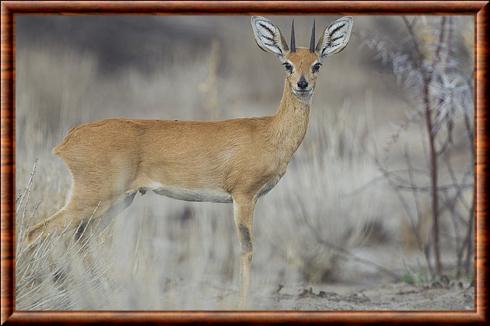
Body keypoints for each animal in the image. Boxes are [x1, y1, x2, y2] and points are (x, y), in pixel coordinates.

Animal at [27, 16, 352, 306]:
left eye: (317, 64)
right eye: (287, 63)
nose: (302, 84)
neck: (269, 132)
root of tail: (69, 138)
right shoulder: (243, 196)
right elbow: (246, 248)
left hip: (117, 201)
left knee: (80, 239)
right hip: (91, 199)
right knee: (37, 232)